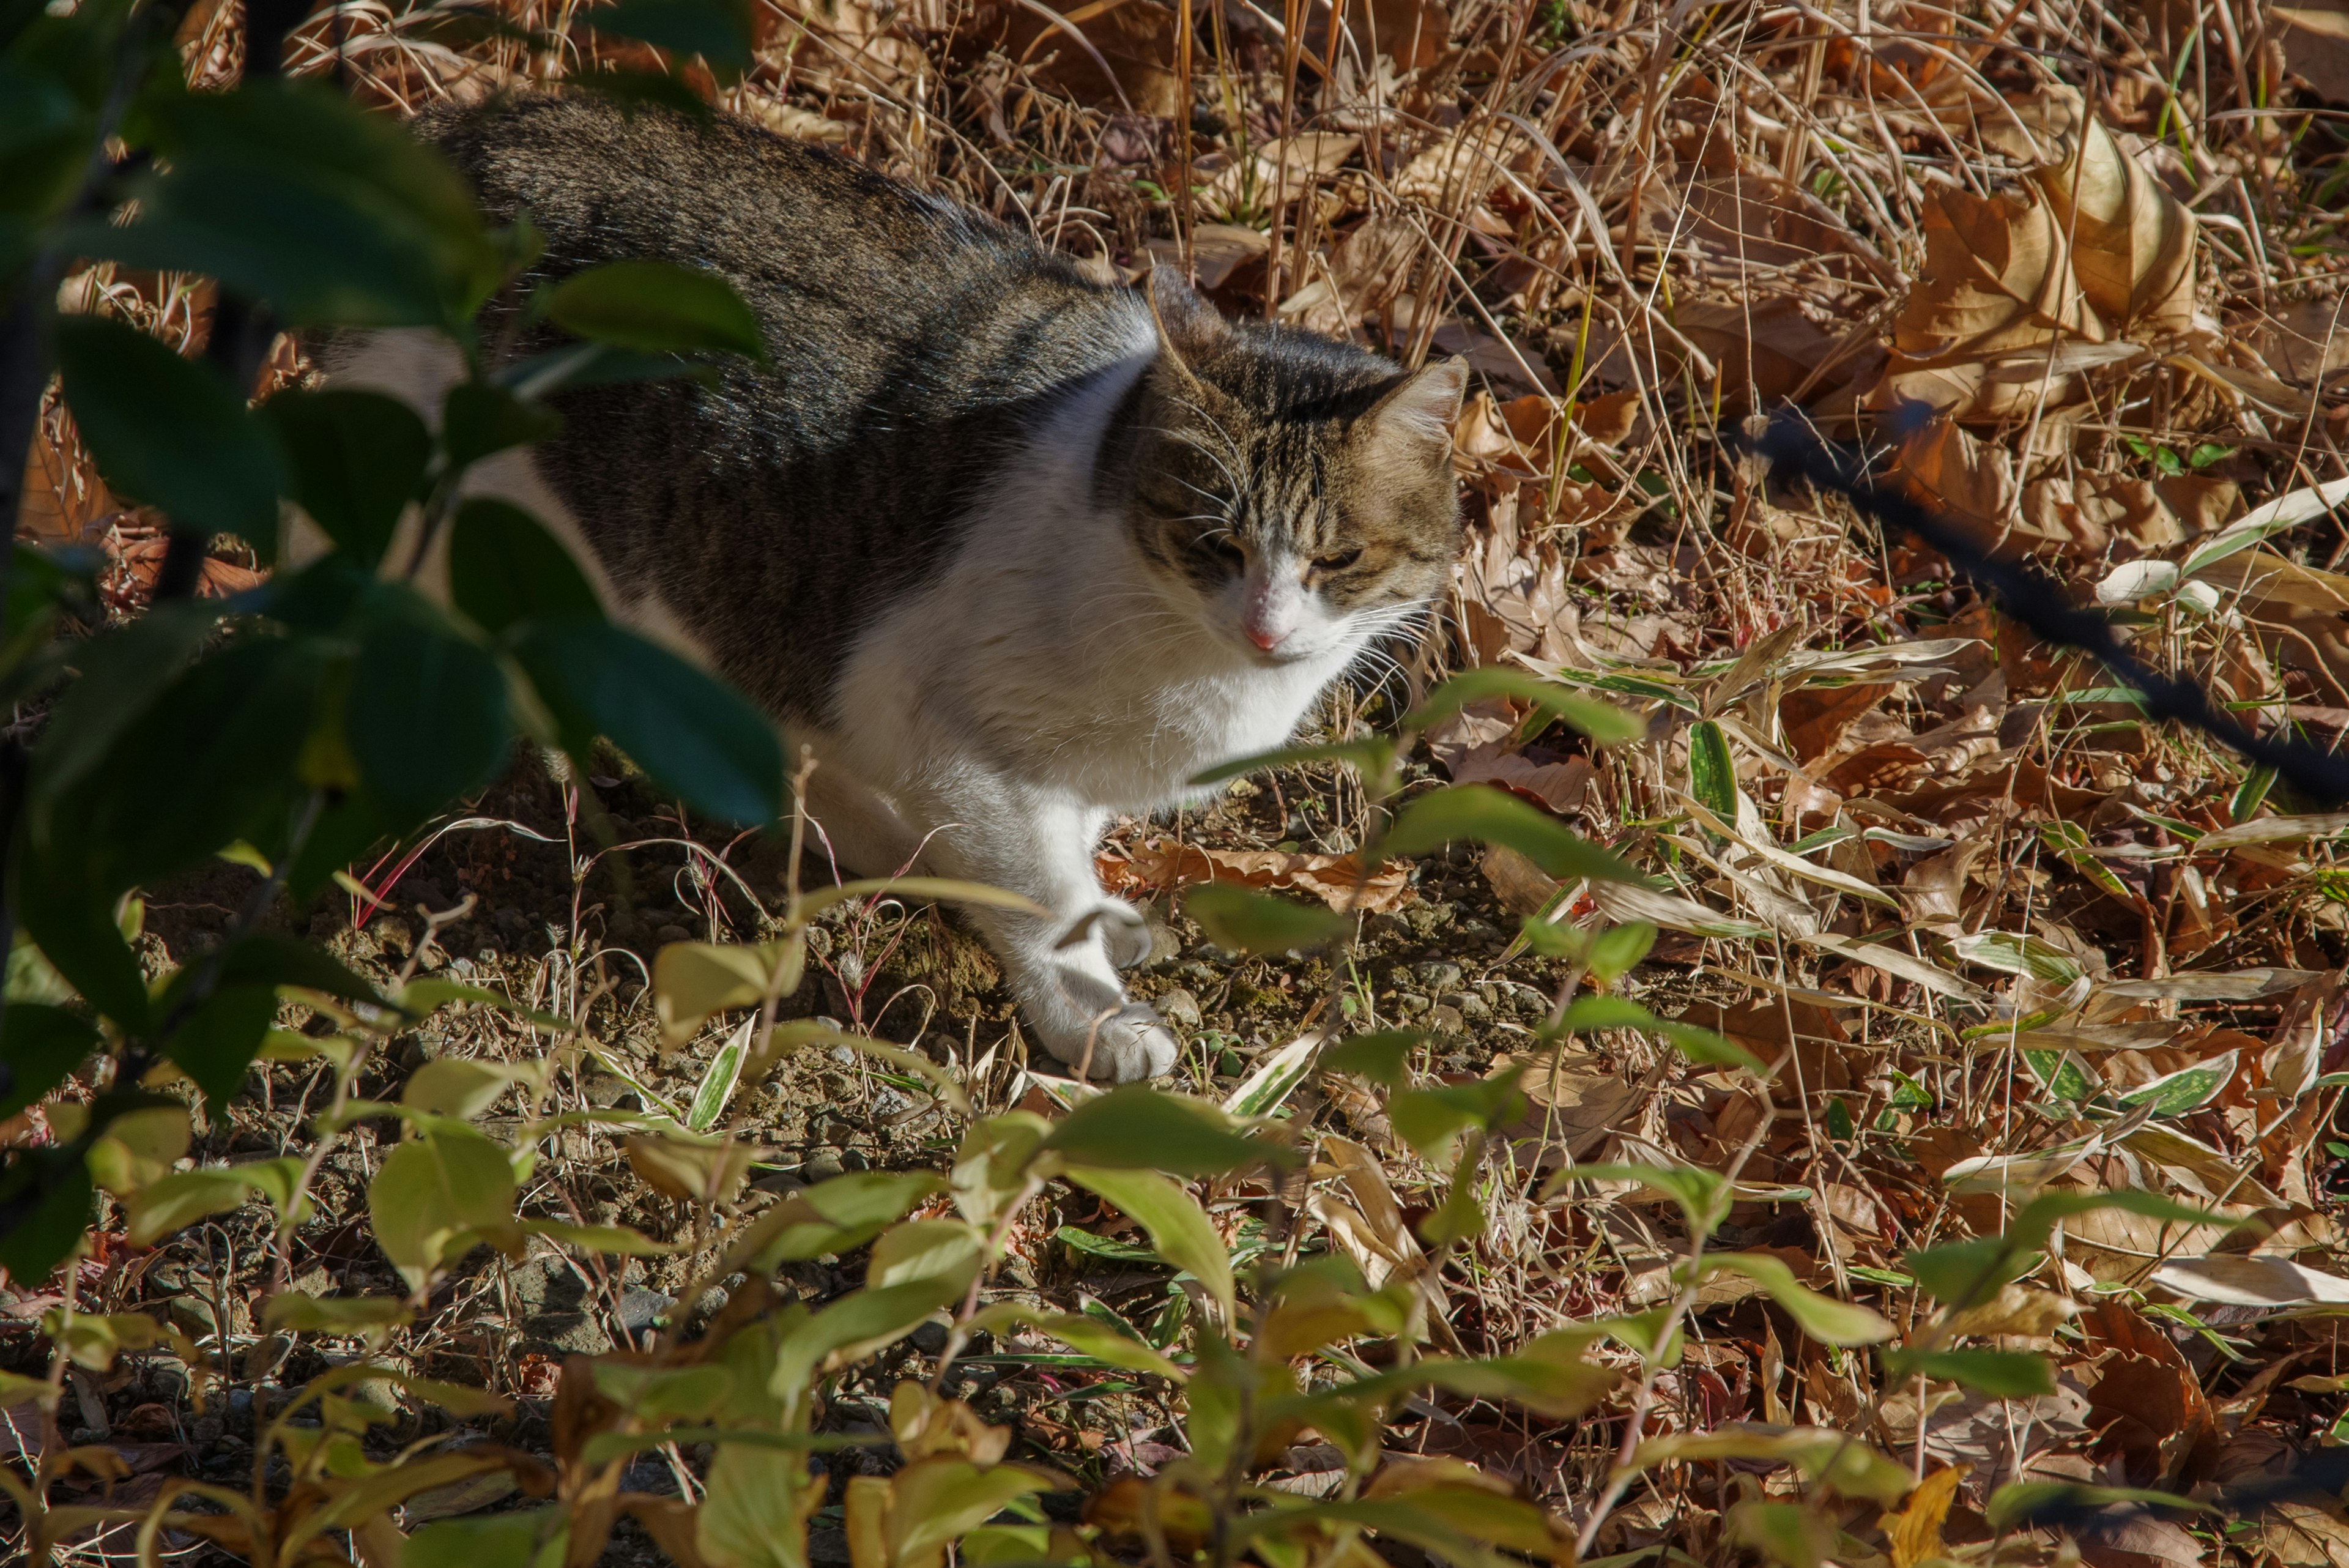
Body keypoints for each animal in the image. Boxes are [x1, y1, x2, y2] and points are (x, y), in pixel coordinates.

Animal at [336, 95, 1466, 1081]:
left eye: (1337, 561)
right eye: (1215, 543)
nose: (1268, 628)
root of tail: (459, 132)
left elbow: (1067, 847)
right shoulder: (953, 736)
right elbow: (1041, 892)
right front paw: (1095, 1018)